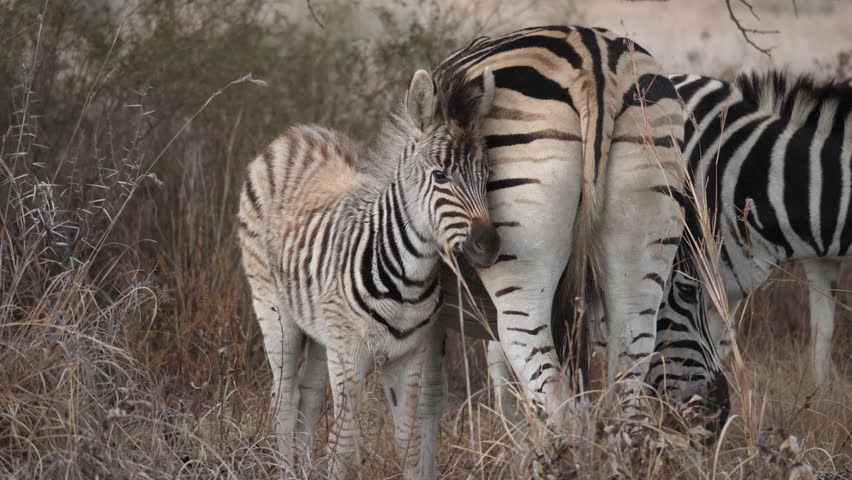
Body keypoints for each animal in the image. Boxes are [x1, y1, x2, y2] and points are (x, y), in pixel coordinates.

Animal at [238, 68, 498, 479]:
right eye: (440, 176)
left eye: (487, 175)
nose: (489, 244)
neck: (408, 279)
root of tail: (297, 133)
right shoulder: (350, 353)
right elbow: (341, 448)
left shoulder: (409, 354)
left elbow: (409, 445)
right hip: (273, 309)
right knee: (283, 398)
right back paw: (287, 467)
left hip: (321, 328)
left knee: (308, 396)